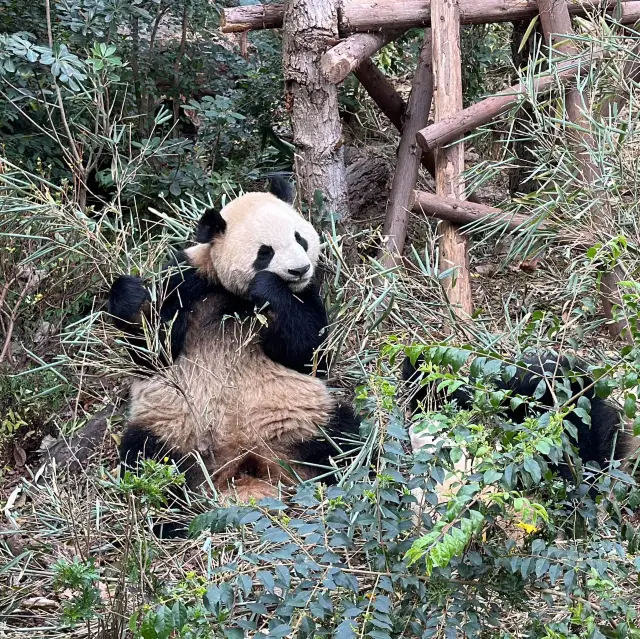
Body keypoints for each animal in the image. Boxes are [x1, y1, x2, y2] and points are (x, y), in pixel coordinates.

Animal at [109, 180, 360, 504]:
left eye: (300, 238)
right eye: (265, 252)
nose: (299, 270)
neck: (235, 294)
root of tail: (243, 463)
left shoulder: (307, 293)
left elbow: (309, 353)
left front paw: (268, 288)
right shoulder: (188, 280)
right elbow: (154, 353)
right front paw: (130, 297)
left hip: (302, 417)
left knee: (341, 438)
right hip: (171, 424)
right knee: (145, 458)